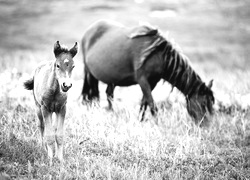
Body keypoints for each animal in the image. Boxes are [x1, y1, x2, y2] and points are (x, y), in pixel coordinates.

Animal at [81, 19, 214, 124]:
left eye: (211, 105)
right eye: (203, 104)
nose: (206, 126)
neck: (158, 55)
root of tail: (88, 32)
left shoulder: (153, 82)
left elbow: (144, 102)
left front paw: (140, 120)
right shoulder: (142, 80)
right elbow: (151, 104)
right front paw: (158, 123)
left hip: (112, 79)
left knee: (109, 94)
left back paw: (111, 112)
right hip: (89, 73)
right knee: (94, 93)